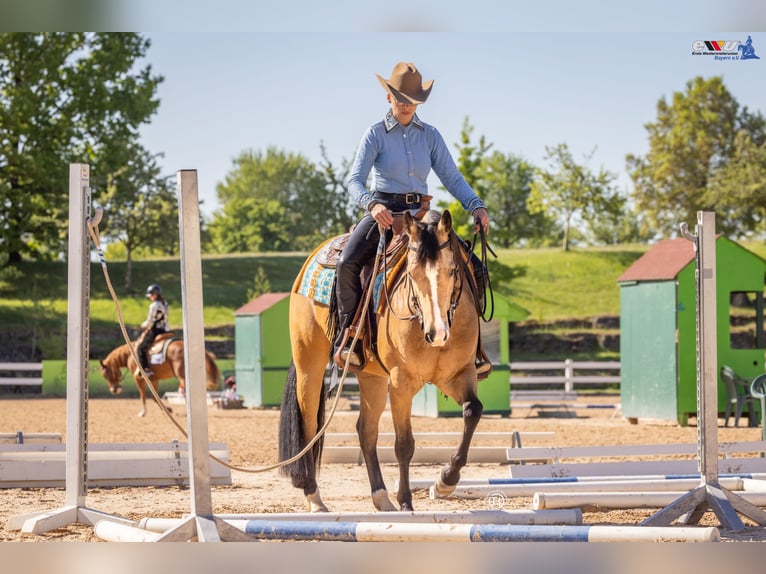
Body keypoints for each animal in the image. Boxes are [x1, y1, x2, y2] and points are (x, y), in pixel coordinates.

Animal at [278, 209, 484, 512]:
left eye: (453, 270)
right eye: (412, 273)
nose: (437, 333)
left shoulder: (459, 374)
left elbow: (473, 412)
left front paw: (445, 481)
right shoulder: (401, 383)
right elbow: (404, 444)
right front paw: (407, 502)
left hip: (371, 376)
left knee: (366, 430)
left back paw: (381, 497)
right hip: (309, 362)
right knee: (309, 426)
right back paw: (314, 497)